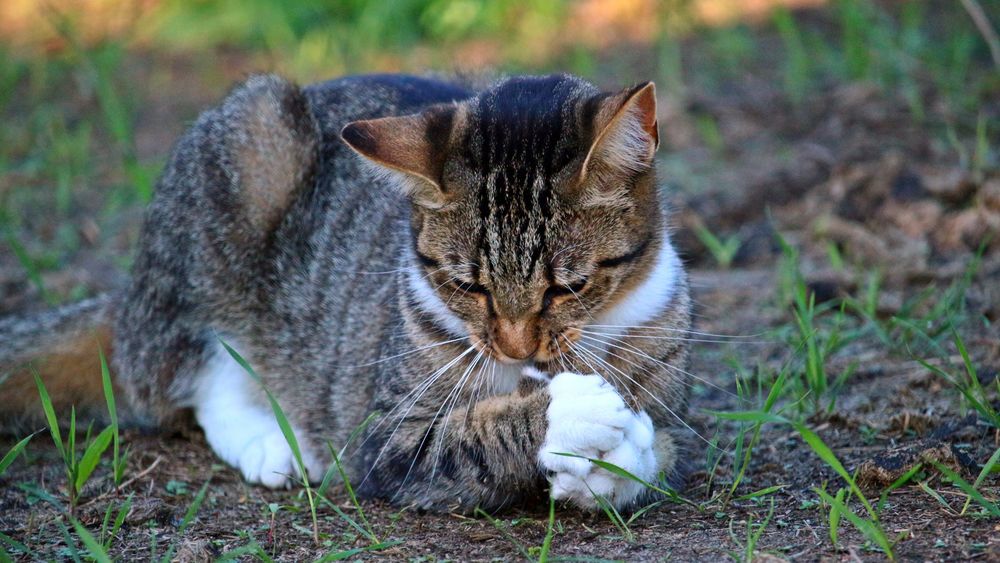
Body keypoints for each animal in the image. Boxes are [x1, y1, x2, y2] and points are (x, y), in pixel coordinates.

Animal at [0, 72, 688, 512]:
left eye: (568, 287)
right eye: (467, 284)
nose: (516, 348)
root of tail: (132, 298)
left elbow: (660, 448)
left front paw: (617, 459)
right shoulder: (385, 440)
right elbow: (470, 438)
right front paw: (573, 415)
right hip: (242, 159)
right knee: (193, 375)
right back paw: (270, 441)